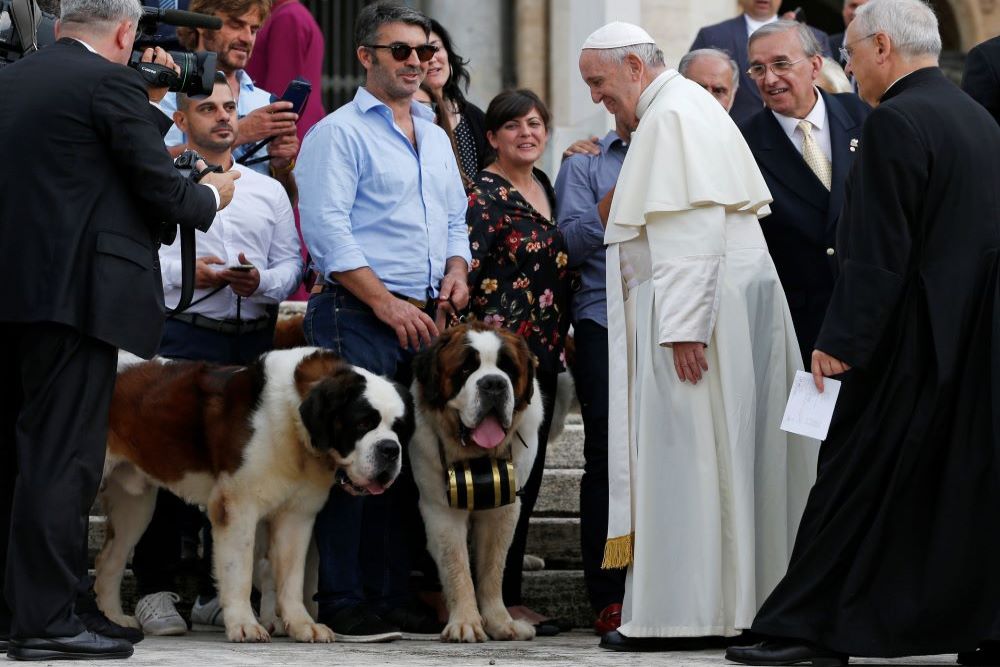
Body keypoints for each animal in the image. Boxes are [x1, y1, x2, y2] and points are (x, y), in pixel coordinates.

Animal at [91, 348, 410, 644]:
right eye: (362, 424)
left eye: (397, 428)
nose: (390, 449)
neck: (293, 418)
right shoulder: (238, 506)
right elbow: (240, 572)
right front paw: (244, 625)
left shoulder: (297, 515)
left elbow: (291, 576)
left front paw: (302, 625)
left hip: (134, 505)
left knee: (110, 560)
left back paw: (114, 618)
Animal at [410, 324, 544, 640]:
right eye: (465, 369)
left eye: (508, 369)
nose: (494, 383)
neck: (475, 457)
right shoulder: (442, 510)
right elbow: (456, 566)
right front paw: (465, 623)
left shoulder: (503, 507)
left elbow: (492, 568)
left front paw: (500, 622)